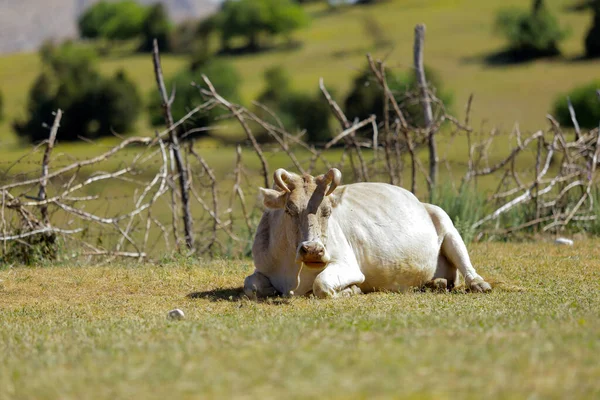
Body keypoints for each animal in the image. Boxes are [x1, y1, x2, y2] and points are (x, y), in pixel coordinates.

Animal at [244, 167, 492, 298]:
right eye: (289, 209)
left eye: (327, 211)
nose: (312, 250)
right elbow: (250, 285)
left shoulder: (348, 265)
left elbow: (321, 285)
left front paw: (351, 290)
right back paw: (435, 282)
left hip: (447, 226)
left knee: (467, 267)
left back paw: (478, 283)